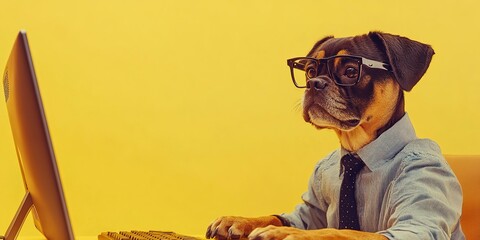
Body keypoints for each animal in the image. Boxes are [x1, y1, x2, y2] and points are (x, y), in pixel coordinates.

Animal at [204, 32, 464, 240]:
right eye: (309, 71)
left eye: (350, 71)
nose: (314, 83)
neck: (355, 151)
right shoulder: (310, 212)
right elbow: (286, 216)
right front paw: (239, 220)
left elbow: (342, 230)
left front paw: (286, 232)